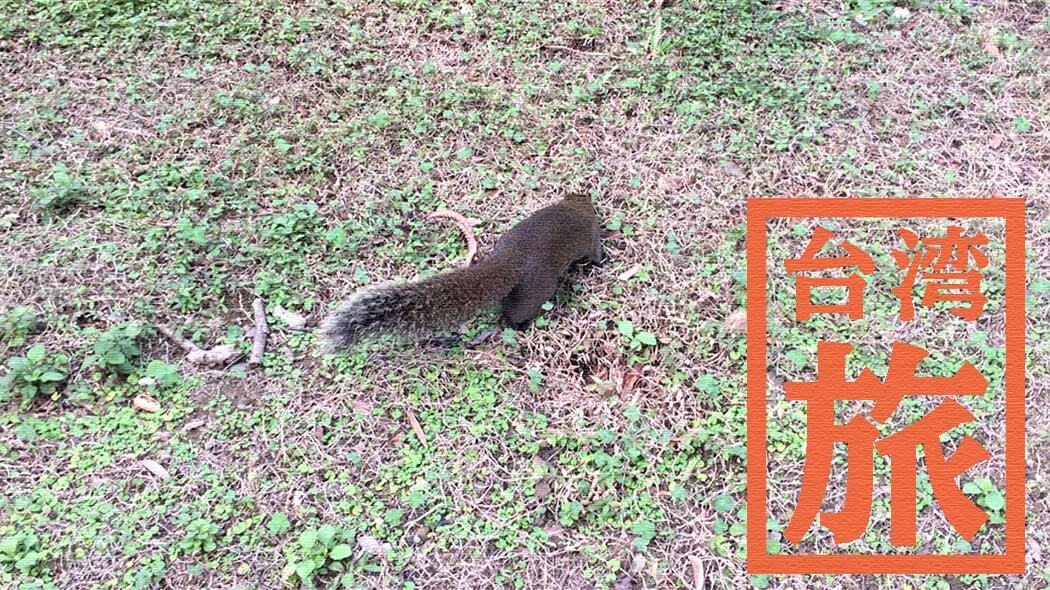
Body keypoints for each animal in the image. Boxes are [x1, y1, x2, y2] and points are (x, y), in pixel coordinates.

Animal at [319, 192, 604, 348]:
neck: (575, 207)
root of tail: (506, 261)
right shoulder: (592, 237)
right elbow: (595, 254)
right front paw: (603, 261)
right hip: (537, 288)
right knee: (516, 313)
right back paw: (520, 326)